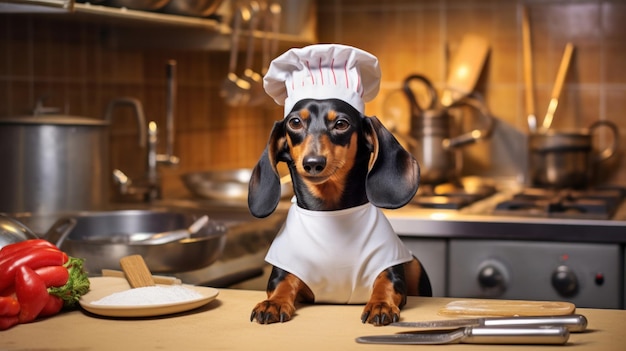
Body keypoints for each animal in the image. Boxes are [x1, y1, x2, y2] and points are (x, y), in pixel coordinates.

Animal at [246, 97, 432, 326]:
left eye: (341, 124)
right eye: (295, 122)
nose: (313, 163)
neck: (330, 213)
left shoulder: (390, 269)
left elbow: (385, 283)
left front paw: (380, 304)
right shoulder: (285, 270)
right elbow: (282, 284)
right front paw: (273, 302)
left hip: (414, 264)